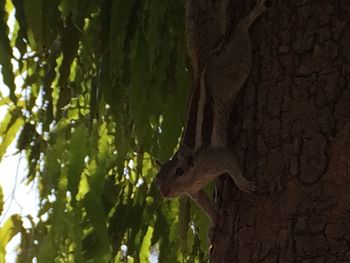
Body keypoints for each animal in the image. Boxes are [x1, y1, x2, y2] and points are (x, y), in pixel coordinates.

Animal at [154, 0, 266, 226]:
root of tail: (203, 65)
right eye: (157, 180)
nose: (165, 192)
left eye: (179, 171)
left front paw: (243, 183)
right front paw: (215, 219)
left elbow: (231, 163)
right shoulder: (194, 192)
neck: (195, 174)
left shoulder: (217, 158)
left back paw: (250, 17)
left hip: (232, 70)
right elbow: (204, 204)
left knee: (240, 36)